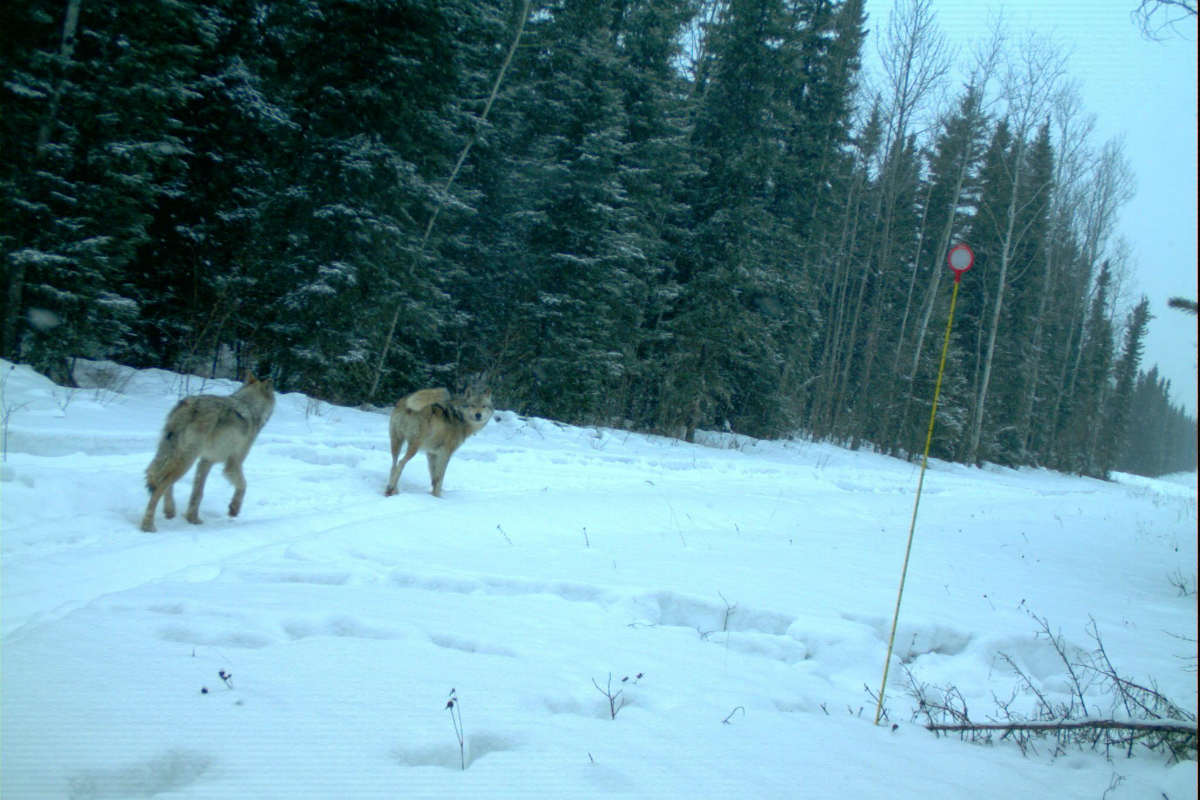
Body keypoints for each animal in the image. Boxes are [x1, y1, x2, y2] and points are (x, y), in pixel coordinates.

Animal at [139, 376, 274, 532]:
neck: (250, 408)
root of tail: (189, 404)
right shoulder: (233, 463)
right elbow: (243, 485)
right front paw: (234, 509)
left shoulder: (206, 461)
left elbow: (197, 493)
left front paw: (193, 519)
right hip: (187, 460)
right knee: (161, 485)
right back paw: (148, 525)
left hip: (174, 454)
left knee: (160, 479)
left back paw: (170, 511)